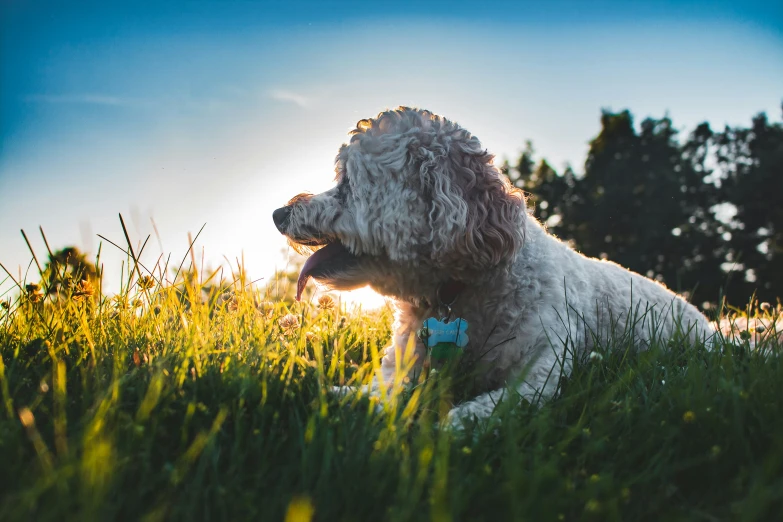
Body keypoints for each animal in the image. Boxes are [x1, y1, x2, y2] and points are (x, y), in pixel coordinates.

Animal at [276, 106, 716, 426]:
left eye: (347, 182)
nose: (279, 214)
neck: (460, 291)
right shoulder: (405, 362)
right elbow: (379, 390)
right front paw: (333, 395)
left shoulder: (541, 372)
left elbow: (495, 405)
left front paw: (453, 426)